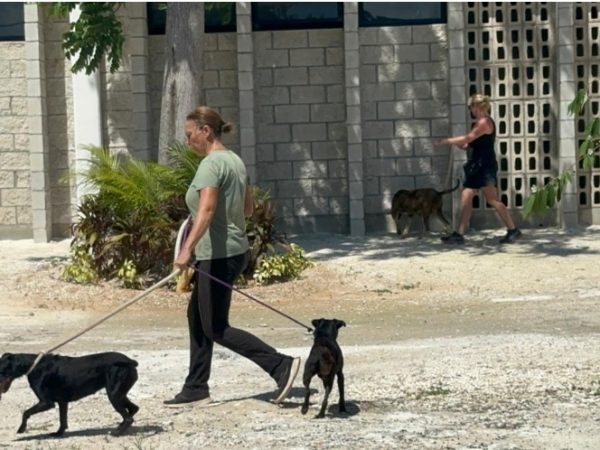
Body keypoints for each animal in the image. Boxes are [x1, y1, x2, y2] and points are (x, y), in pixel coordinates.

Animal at [0, 352, 139, 437]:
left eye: (1, 371)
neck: (33, 365)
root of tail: (130, 361)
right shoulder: (62, 401)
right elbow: (63, 420)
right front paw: (58, 433)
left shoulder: (46, 403)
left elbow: (25, 413)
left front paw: (21, 429)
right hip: (118, 393)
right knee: (134, 409)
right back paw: (121, 426)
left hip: (114, 394)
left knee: (129, 417)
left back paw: (117, 433)